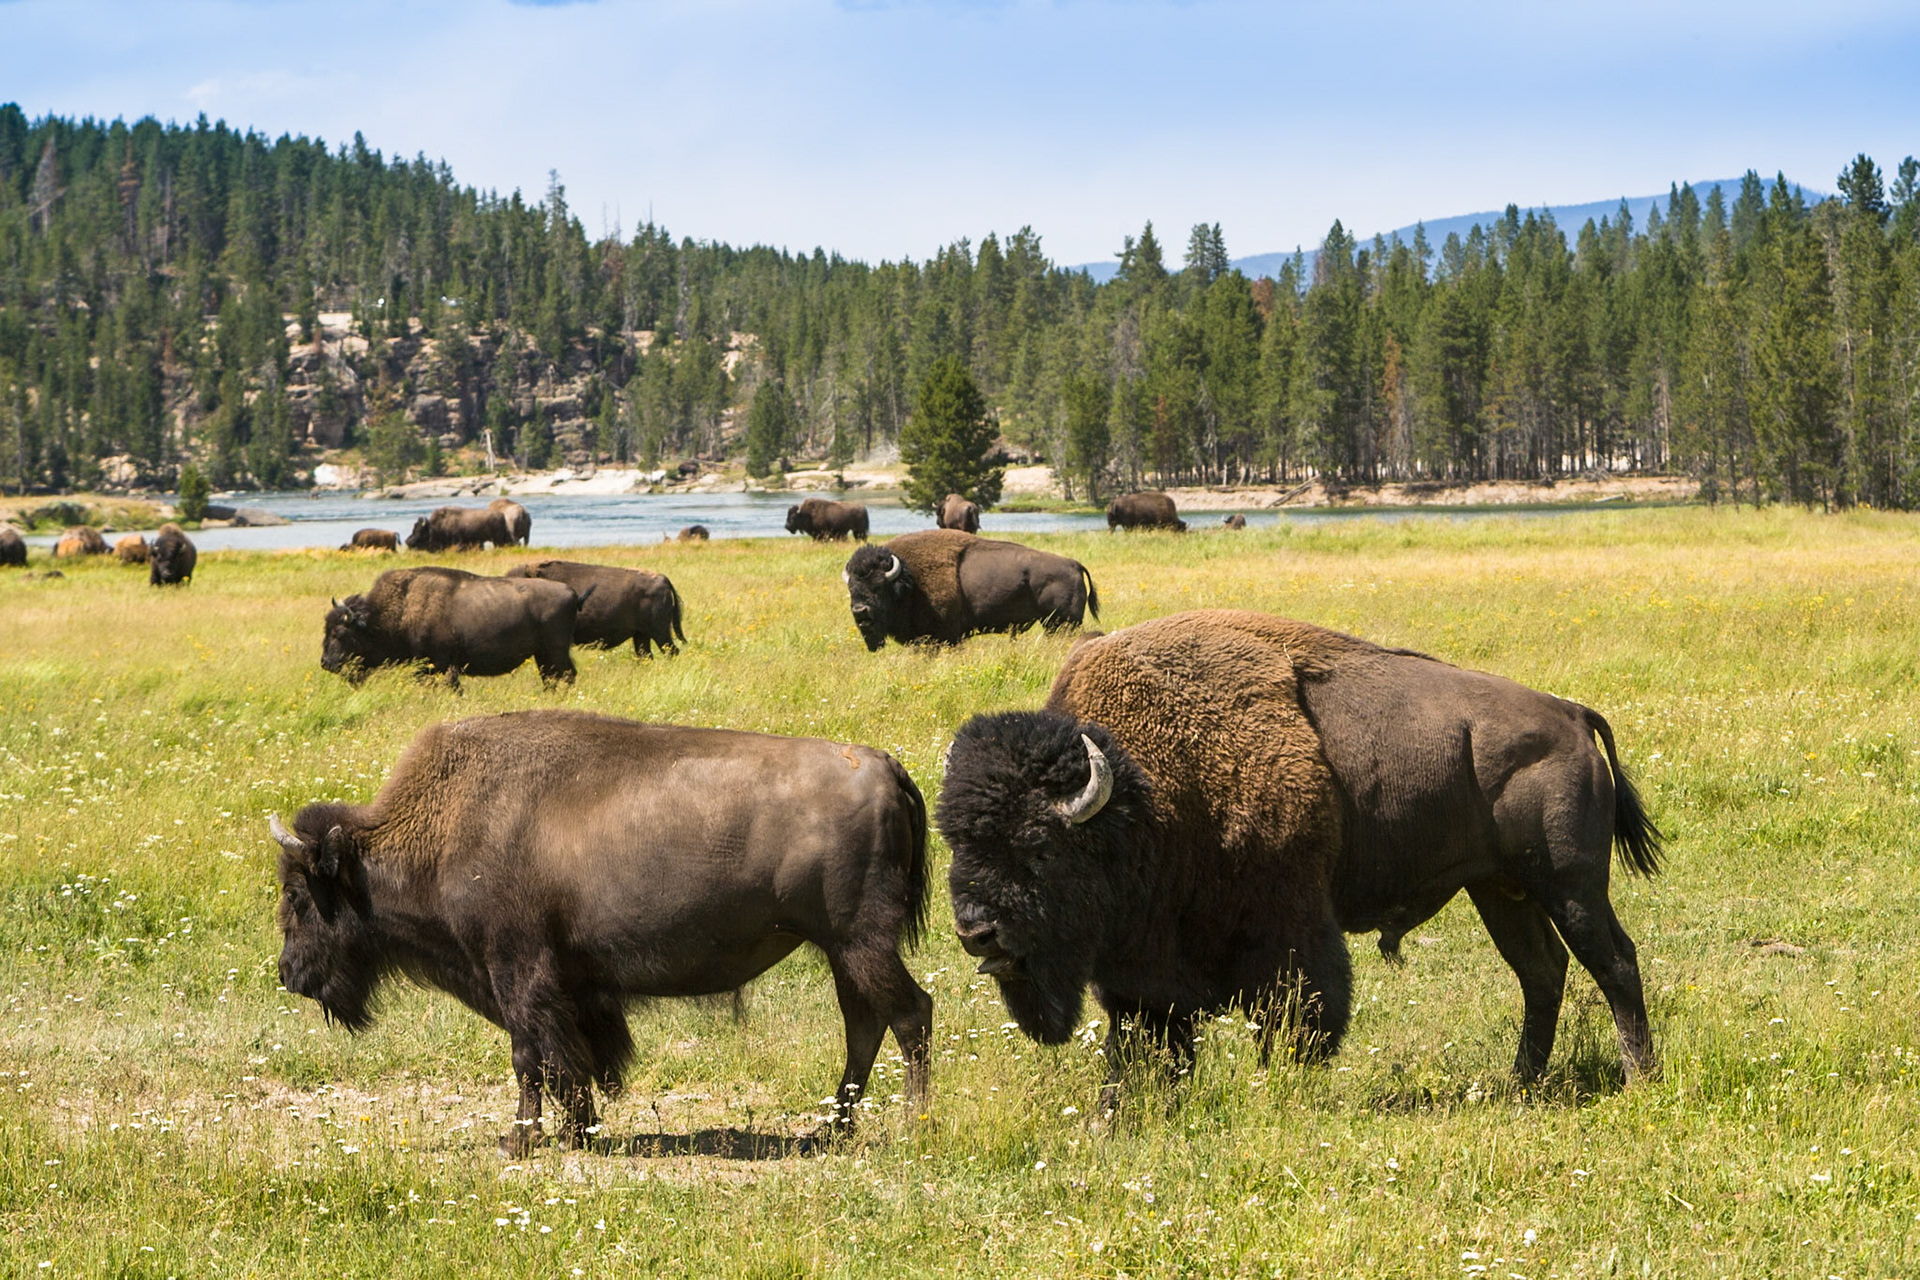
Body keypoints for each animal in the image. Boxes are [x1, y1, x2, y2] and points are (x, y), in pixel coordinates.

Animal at [268, 709, 932, 1154]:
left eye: (299, 895)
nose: (289, 973)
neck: (445, 827)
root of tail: (885, 767)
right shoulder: (567, 985)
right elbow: (572, 1061)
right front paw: (577, 1131)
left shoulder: (517, 973)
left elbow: (532, 1057)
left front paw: (520, 1141)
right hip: (845, 952)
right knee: (865, 1025)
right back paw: (831, 1131)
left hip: (860, 943)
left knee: (910, 1014)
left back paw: (911, 1127)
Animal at [321, 566, 586, 689]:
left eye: (340, 633)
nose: (326, 663)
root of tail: (572, 593)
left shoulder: (443, 664)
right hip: (543, 655)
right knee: (553, 677)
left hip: (554, 651)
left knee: (566, 675)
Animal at [843, 530, 1099, 652]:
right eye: (851, 588)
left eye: (878, 587)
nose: (860, 611)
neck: (910, 582)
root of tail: (1074, 564)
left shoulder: (946, 637)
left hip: (1061, 624)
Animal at [939, 609, 1661, 1108]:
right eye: (957, 844)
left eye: (1038, 849)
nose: (977, 931)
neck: (1144, 794)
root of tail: (1570, 713)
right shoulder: (1142, 966)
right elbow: (1144, 1039)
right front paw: (1119, 1112)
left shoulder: (1288, 927)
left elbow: (1300, 1013)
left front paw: (1283, 1085)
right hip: (1500, 890)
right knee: (1541, 972)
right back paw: (1519, 1085)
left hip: (1569, 883)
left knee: (1613, 962)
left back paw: (1638, 1079)